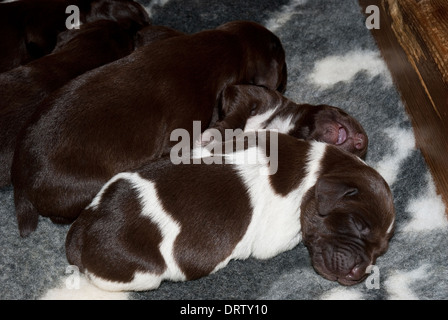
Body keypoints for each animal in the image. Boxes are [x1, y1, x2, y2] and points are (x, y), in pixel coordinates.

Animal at [65, 131, 394, 292]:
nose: (359, 272)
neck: (318, 169)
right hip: (143, 274)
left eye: (380, 251)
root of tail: (83, 232)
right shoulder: (277, 237)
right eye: (357, 224)